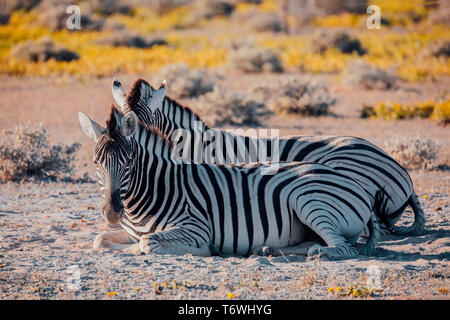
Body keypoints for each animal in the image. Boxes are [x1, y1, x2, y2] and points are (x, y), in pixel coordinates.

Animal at [78, 106, 380, 258]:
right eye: (95, 163)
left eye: (128, 162)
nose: (112, 213)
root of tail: (355, 184)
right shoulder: (129, 231)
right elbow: (100, 240)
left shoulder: (196, 226)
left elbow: (147, 243)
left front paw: (203, 249)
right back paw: (269, 249)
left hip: (309, 200)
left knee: (343, 249)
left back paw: (319, 253)